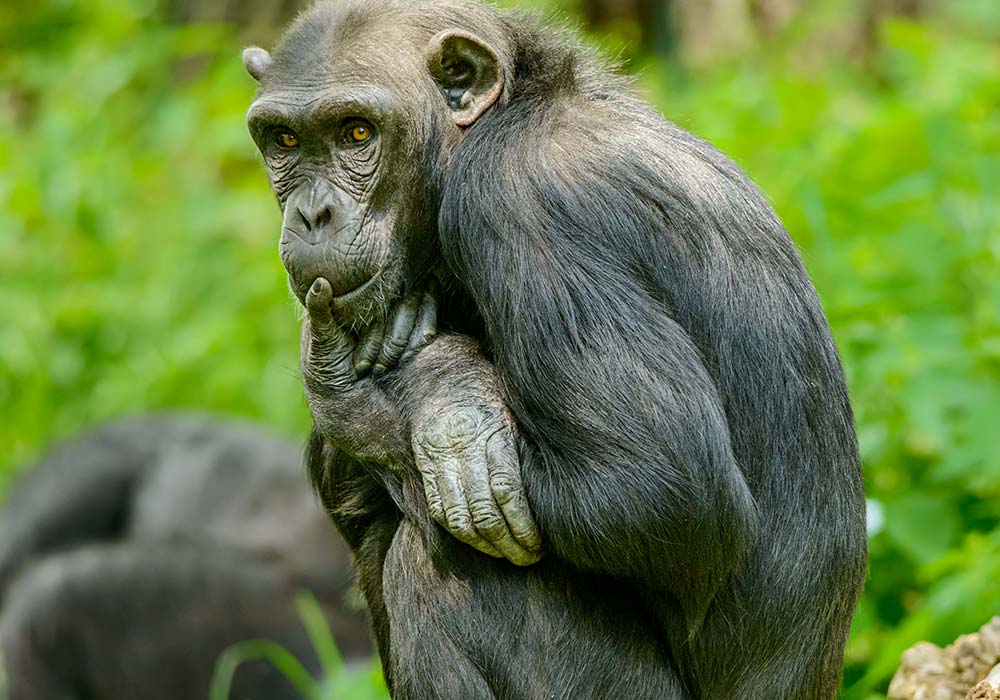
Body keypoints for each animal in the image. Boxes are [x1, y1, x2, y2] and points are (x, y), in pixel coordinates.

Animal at [242, 2, 868, 696]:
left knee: (435, 572)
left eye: (356, 132)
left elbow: (662, 488)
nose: (312, 213)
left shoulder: (518, 202)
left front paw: (414, 400)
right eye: (284, 141)